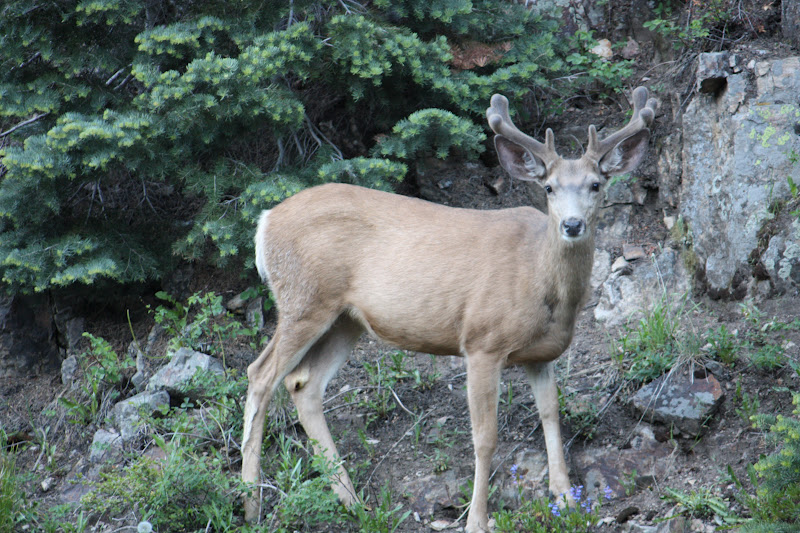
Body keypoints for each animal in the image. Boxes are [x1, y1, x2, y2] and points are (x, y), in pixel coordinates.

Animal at [241, 87, 657, 532]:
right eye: (548, 188)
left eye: (596, 184)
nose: (573, 225)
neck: (539, 280)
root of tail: (265, 221)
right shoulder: (482, 341)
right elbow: (485, 437)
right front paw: (476, 519)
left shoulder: (541, 354)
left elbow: (550, 414)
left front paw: (565, 497)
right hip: (305, 300)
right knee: (260, 375)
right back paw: (250, 502)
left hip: (345, 319)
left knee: (303, 383)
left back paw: (352, 503)